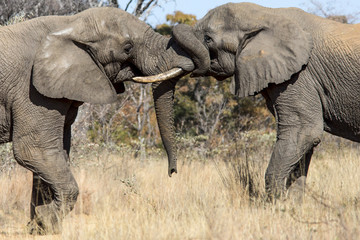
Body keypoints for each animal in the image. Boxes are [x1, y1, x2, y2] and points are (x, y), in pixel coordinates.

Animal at [0, 7, 194, 232]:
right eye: (127, 47)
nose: (172, 172)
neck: (70, 23)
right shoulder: (31, 91)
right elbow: (33, 151)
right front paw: (44, 219)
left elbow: (57, 155)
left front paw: (39, 228)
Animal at [139, 1, 360, 200]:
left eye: (208, 39)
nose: (172, 172)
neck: (266, 15)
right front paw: (293, 205)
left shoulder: (300, 75)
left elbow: (305, 131)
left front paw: (278, 205)